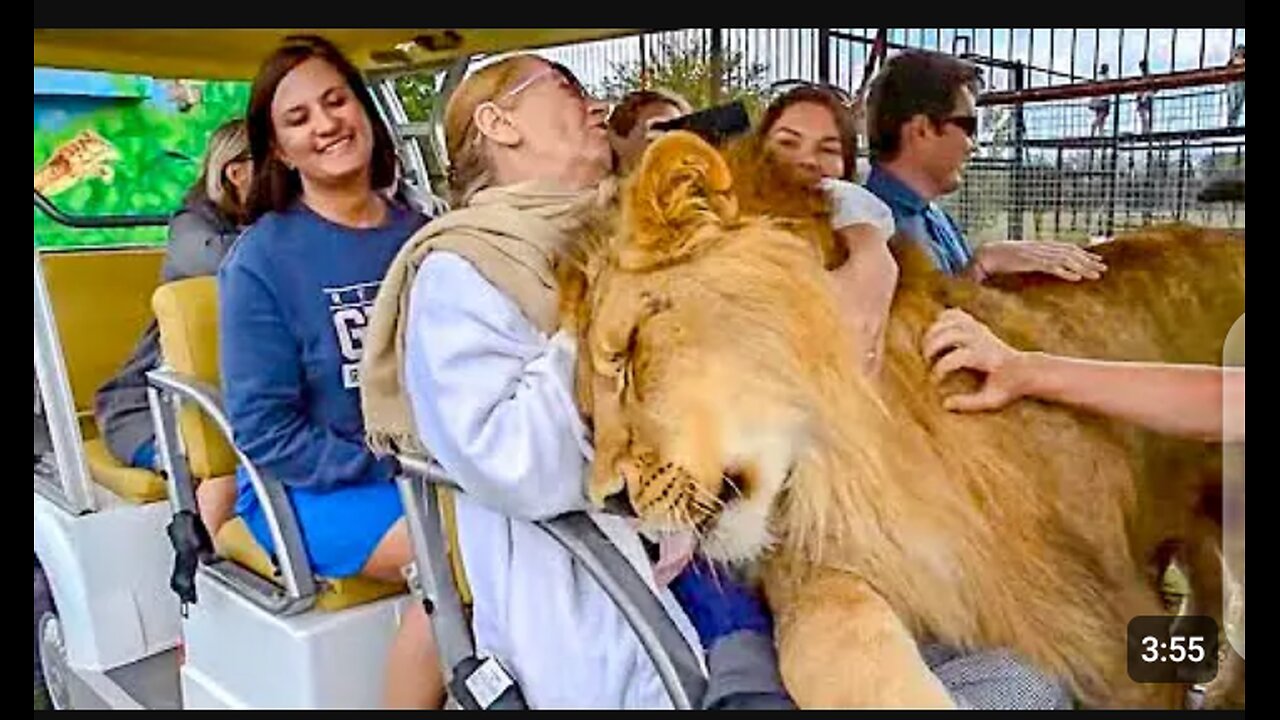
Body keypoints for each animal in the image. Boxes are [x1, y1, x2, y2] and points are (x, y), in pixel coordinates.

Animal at [558, 128, 1239, 707]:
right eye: (584, 408)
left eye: (627, 354)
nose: (607, 500)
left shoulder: (1102, 613)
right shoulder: (836, 564)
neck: (858, 461)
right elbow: (824, 635)